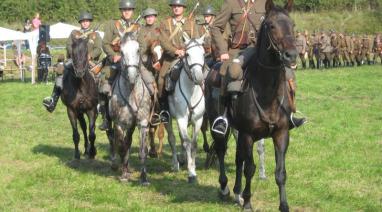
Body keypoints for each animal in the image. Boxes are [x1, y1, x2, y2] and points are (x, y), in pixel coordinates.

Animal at [60, 31, 98, 159]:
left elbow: (92, 134)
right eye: (73, 53)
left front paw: (92, 153)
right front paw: (77, 155)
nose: (80, 72)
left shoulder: (91, 110)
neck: (81, 86)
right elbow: (76, 134)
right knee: (84, 127)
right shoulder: (72, 110)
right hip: (80, 113)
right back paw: (86, 149)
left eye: (86, 51)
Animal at [107, 31, 152, 186]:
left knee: (127, 142)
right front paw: (124, 175)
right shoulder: (119, 124)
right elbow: (121, 146)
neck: (131, 92)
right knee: (113, 139)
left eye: (138, 50)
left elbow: (142, 151)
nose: (132, 76)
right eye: (121, 51)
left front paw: (144, 178)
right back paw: (116, 164)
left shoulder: (142, 123)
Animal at [164, 33, 206, 182]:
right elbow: (187, 142)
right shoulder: (181, 119)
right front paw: (191, 173)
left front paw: (192, 166)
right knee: (172, 139)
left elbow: (193, 143)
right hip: (167, 119)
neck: (191, 91)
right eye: (187, 54)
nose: (199, 78)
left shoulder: (198, 120)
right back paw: (176, 164)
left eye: (203, 53)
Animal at [207, 0, 300, 211]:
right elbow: (250, 168)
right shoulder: (249, 135)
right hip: (219, 126)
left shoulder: (281, 134)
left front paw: (284, 205)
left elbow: (280, 172)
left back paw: (236, 192)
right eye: (271, 25)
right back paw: (225, 188)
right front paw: (248, 202)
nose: (291, 55)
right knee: (221, 150)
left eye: (292, 25)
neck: (266, 91)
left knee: (238, 158)